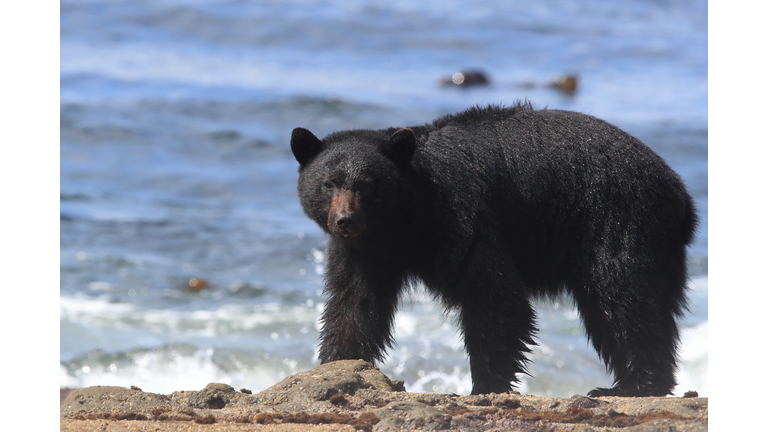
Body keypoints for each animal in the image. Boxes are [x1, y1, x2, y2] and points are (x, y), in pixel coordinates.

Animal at [288, 100, 696, 394]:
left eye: (367, 184)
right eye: (329, 183)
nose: (346, 221)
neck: (407, 221)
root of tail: (680, 193)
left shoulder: (463, 220)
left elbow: (494, 298)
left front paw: (485, 386)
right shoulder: (364, 253)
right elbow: (354, 305)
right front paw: (333, 365)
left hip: (618, 220)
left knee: (622, 300)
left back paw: (632, 387)